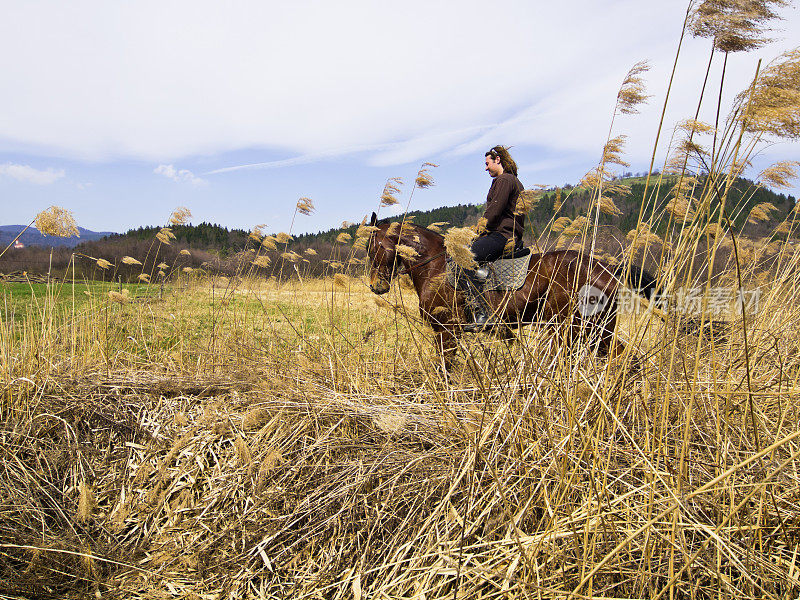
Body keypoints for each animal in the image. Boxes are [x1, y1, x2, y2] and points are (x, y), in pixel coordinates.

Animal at [368, 211, 656, 370]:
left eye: (373, 247)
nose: (375, 286)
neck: (435, 266)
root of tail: (609, 268)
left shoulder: (446, 330)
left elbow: (445, 370)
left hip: (581, 328)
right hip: (594, 330)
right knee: (626, 358)